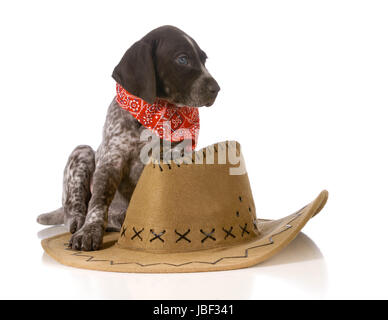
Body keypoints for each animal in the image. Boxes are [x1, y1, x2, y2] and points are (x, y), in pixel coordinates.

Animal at [37, 25, 220, 250]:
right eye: (182, 59)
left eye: (204, 59)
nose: (216, 89)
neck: (156, 110)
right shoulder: (111, 161)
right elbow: (98, 202)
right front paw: (89, 231)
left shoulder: (176, 157)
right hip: (83, 151)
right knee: (75, 206)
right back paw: (78, 221)